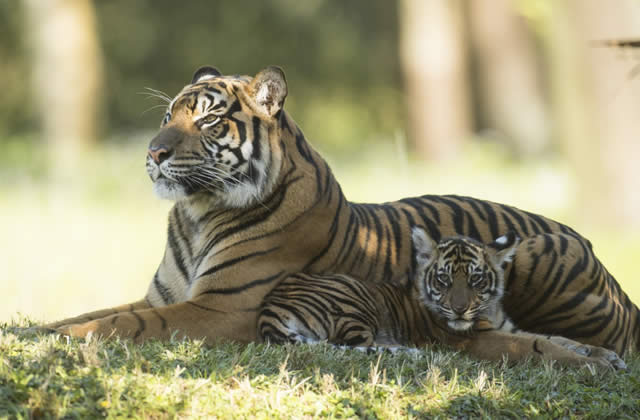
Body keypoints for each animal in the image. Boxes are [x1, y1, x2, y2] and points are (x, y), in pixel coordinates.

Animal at [258, 228, 624, 370]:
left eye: (476, 279)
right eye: (444, 279)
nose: (459, 310)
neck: (490, 310)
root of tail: (266, 310)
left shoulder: (509, 327)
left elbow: (558, 337)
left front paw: (606, 355)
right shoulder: (480, 339)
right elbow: (543, 345)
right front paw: (597, 365)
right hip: (353, 299)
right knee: (357, 345)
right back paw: (411, 351)